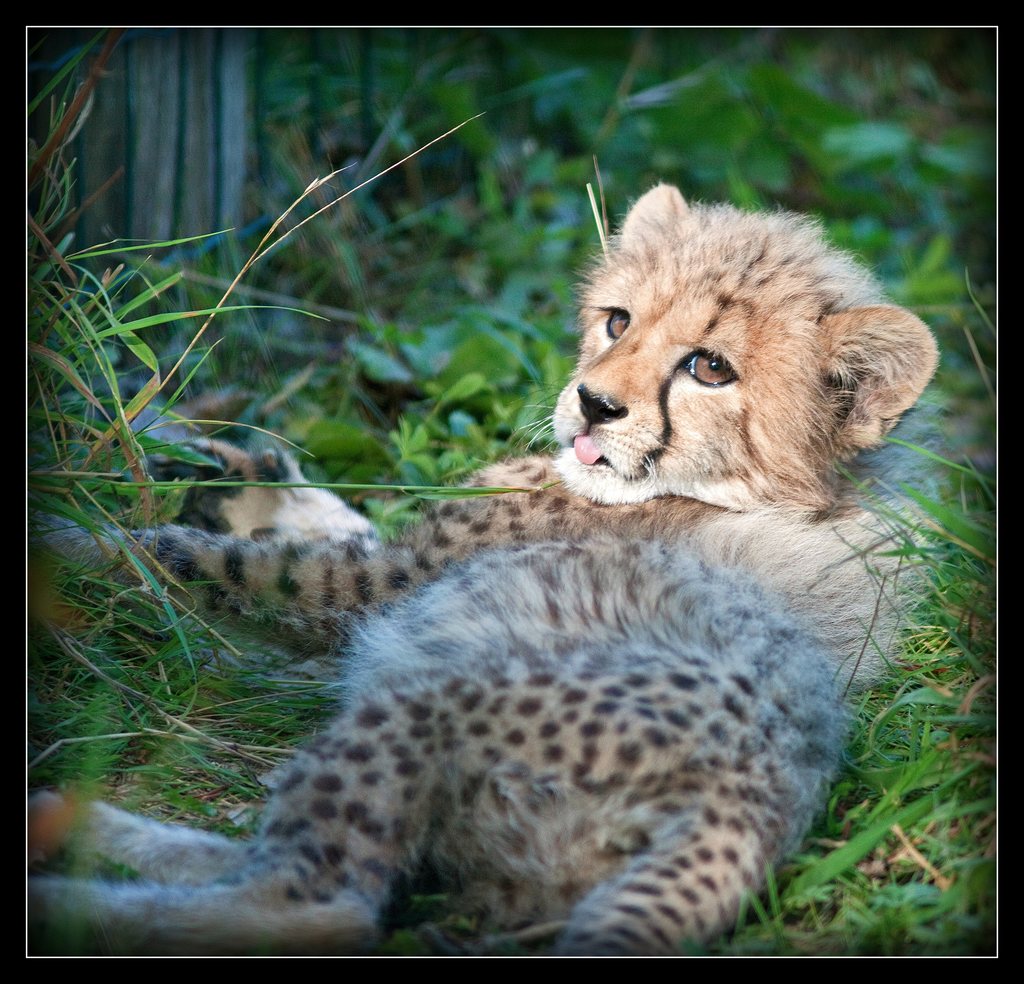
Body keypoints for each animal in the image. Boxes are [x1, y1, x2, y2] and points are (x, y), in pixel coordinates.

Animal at [29, 184, 939, 955]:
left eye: (709, 367)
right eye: (618, 321)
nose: (594, 405)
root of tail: (767, 792)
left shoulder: (374, 587)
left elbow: (198, 560)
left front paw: (64, 535)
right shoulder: (398, 559)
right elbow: (339, 520)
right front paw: (233, 464)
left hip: (430, 696)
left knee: (317, 906)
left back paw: (69, 895)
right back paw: (75, 825)